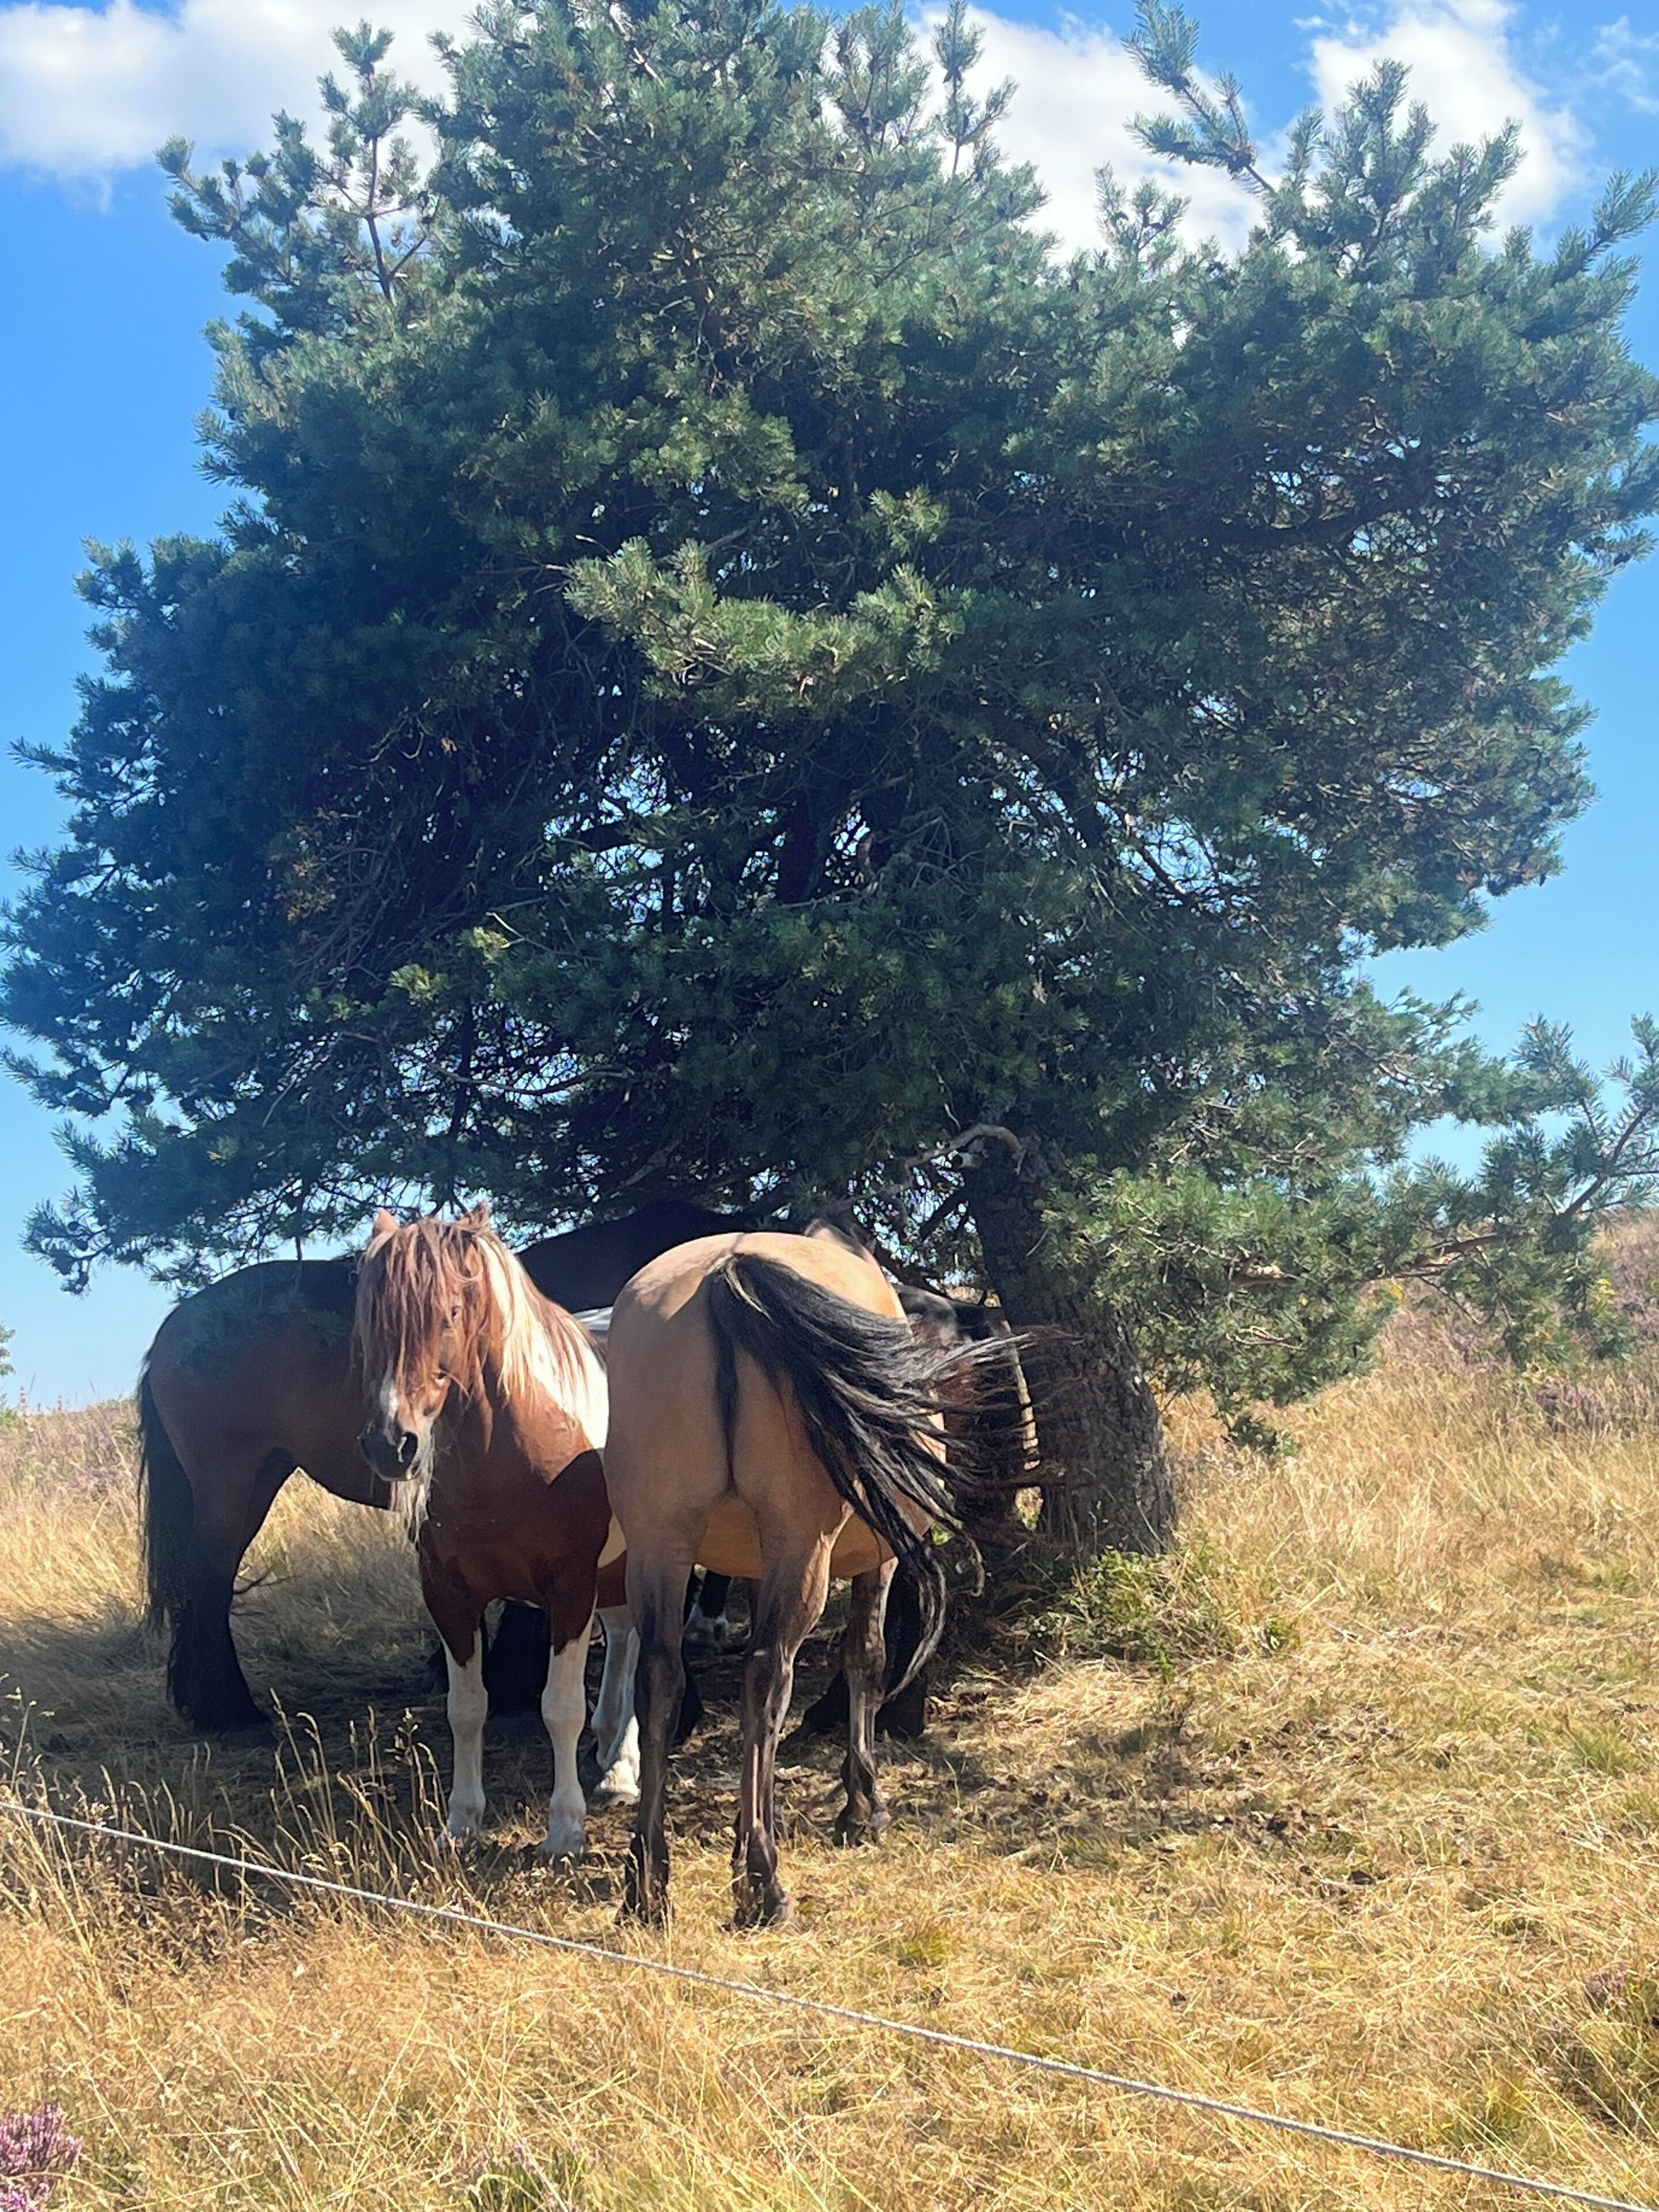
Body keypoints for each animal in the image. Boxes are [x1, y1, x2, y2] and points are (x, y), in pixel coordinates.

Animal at [353, 1206, 616, 1855]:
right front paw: (462, 1822)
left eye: (450, 1311)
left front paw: (565, 1829)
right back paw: (616, 1768)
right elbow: (467, 1708)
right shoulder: (448, 1593)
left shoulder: (571, 1589)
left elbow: (561, 1707)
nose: (391, 1444)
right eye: (369, 1319)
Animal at [603, 1230, 983, 1928]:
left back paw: (646, 1886)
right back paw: (765, 1885)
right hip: (800, 1547)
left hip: (660, 1544)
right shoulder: (877, 1561)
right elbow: (866, 1658)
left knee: (661, 1677)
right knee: (766, 1676)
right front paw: (862, 1807)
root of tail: (726, 1272)